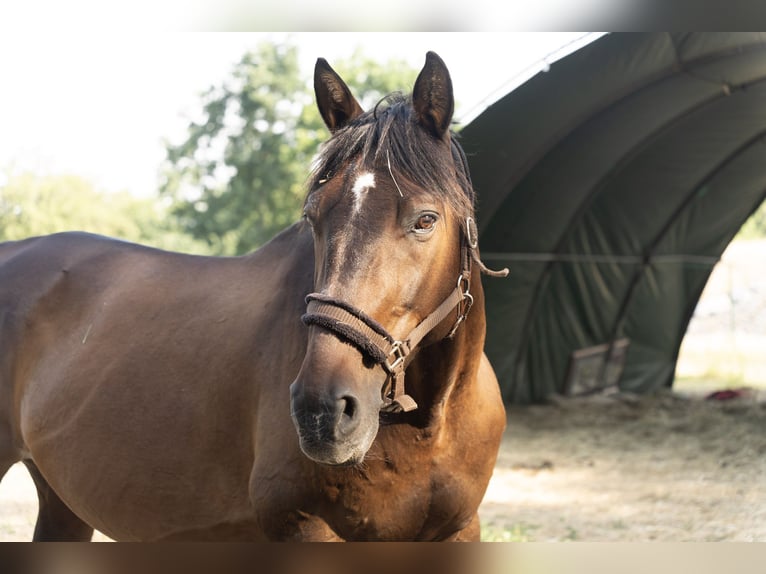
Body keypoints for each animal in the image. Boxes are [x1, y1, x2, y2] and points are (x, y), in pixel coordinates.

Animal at [0, 51, 507, 541]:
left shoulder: (461, 530)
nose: (321, 411)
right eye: (313, 217)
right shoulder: (302, 525)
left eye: (425, 220)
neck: (430, 425)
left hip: (61, 502)